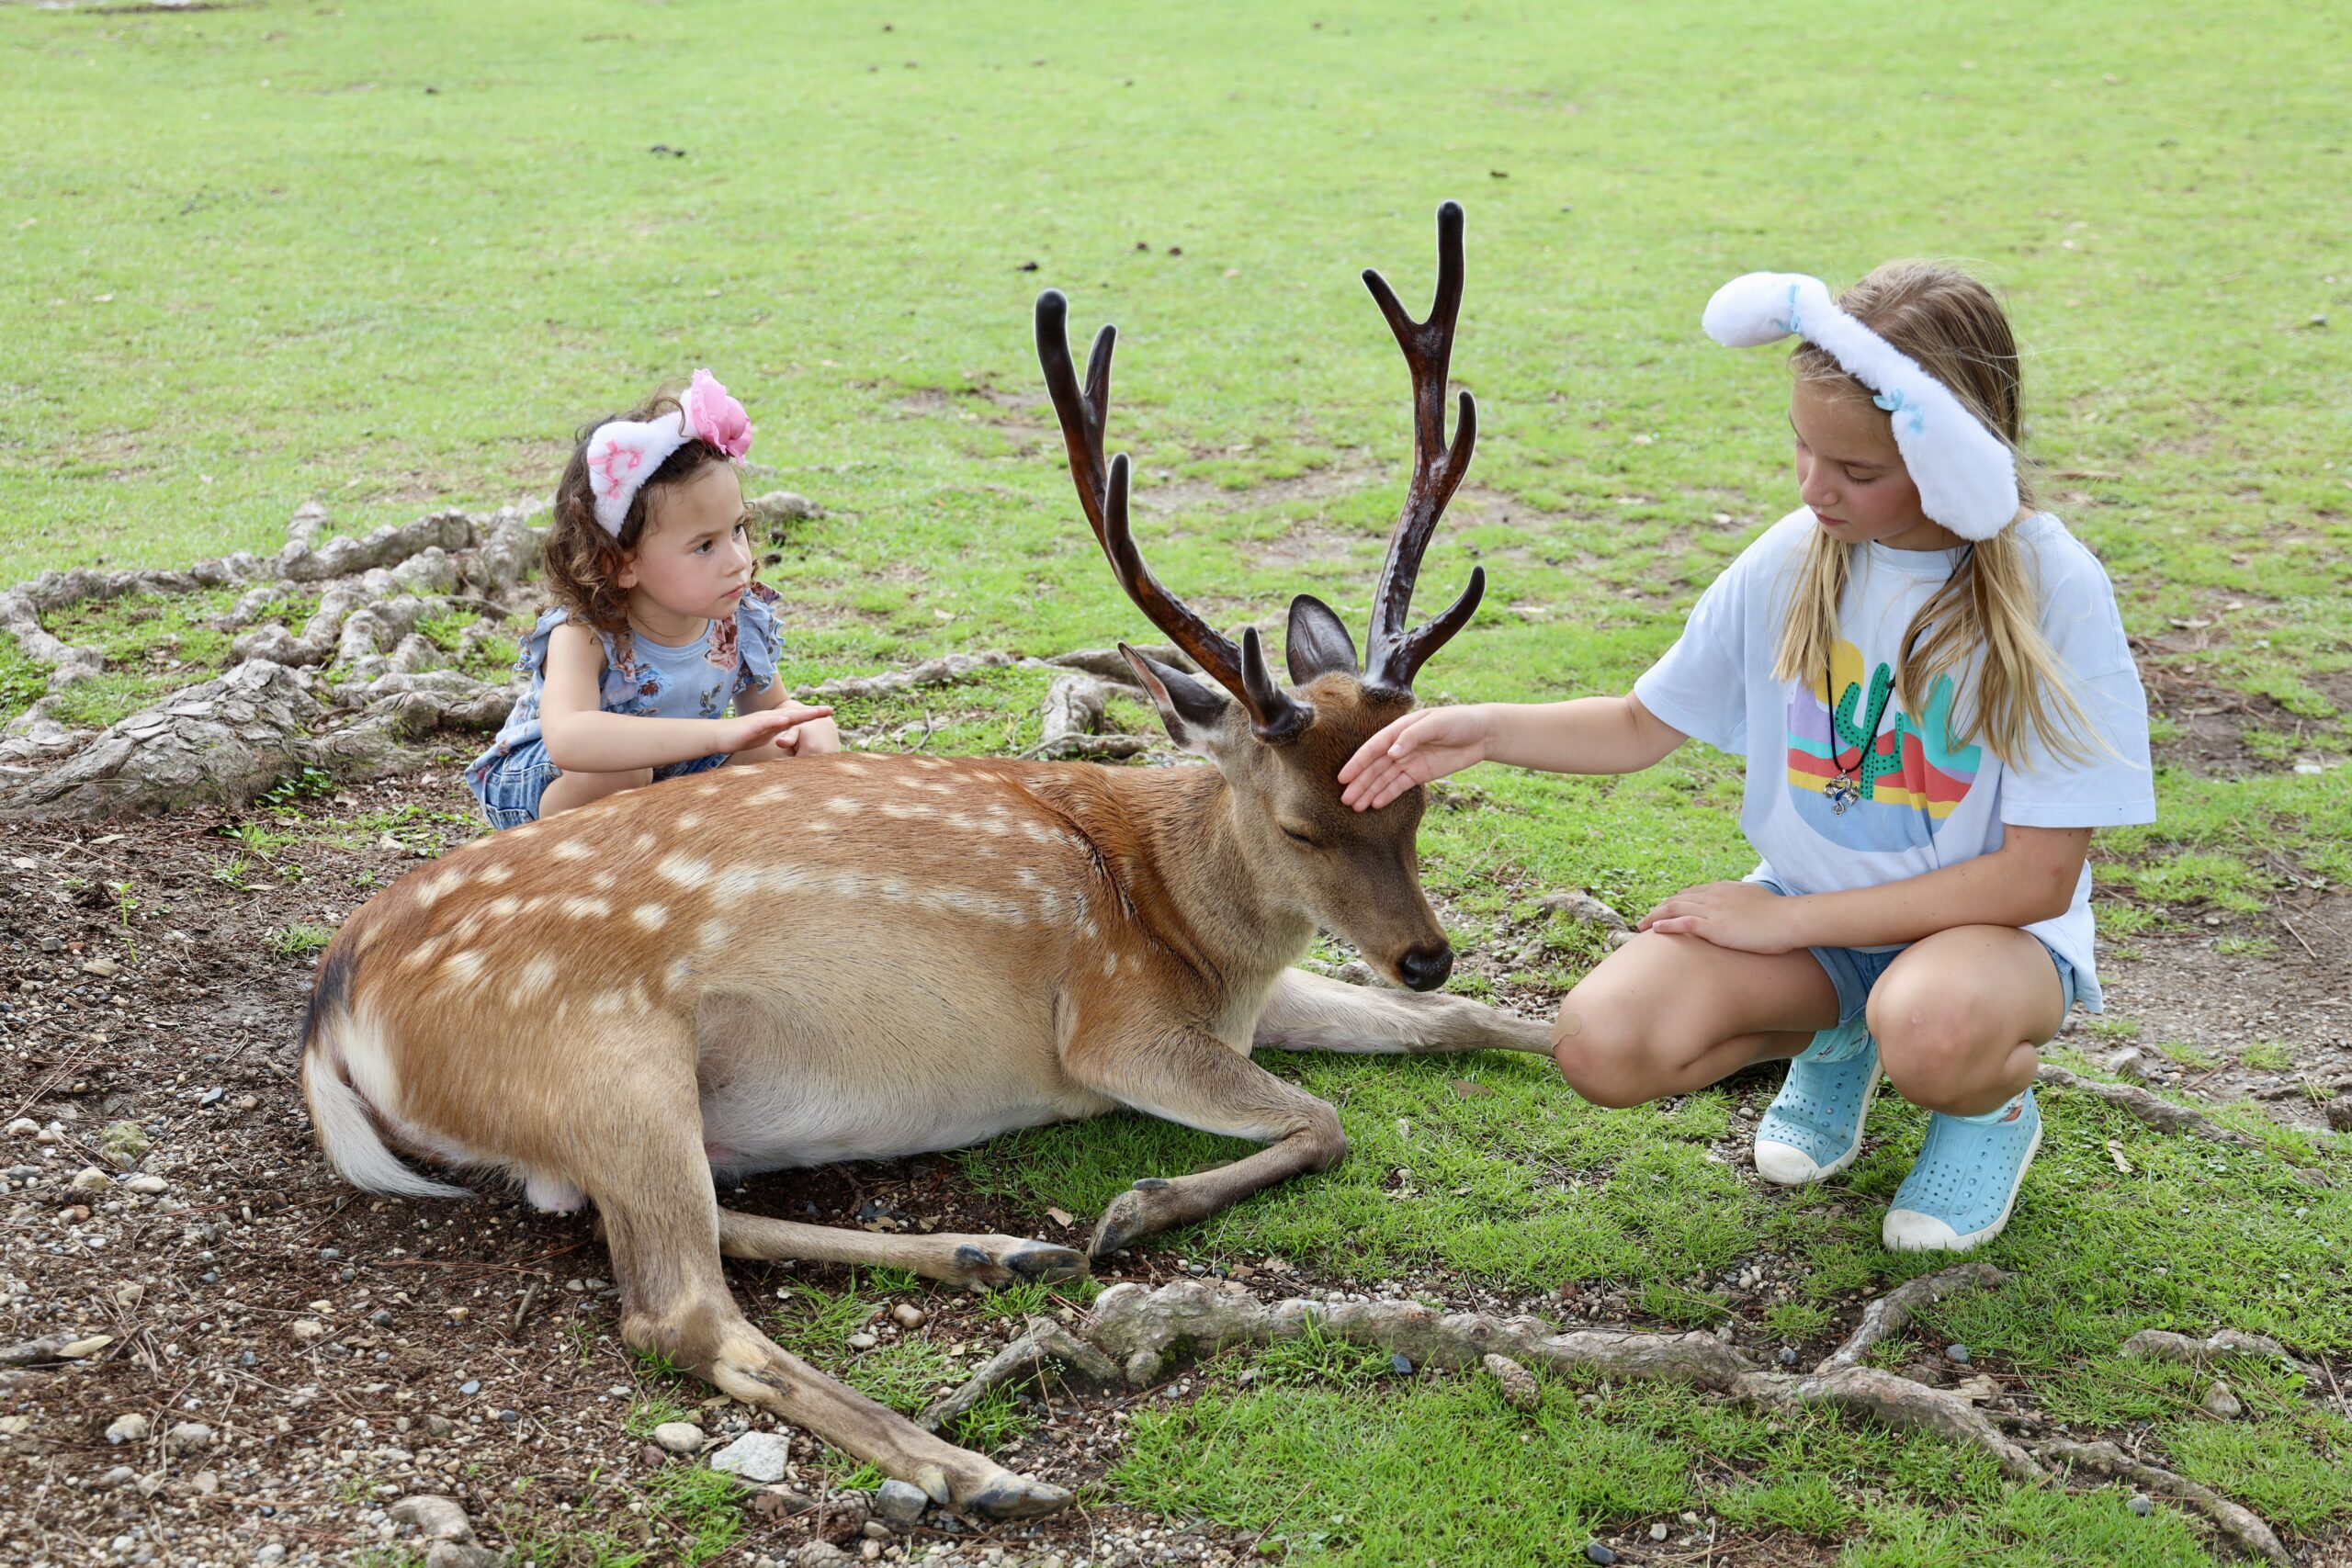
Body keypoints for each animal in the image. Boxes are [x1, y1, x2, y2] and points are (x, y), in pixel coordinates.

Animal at [299, 199, 1543, 1523]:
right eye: (1305, 825)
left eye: (1420, 798)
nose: (1423, 950)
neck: (1191, 912)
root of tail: (334, 1008)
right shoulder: (1113, 1022)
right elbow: (1324, 1118)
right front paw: (1136, 1210)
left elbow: (1458, 1025)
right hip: (603, 1060)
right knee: (678, 1308)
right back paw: (980, 1467)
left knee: (701, 1229)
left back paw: (995, 1251)